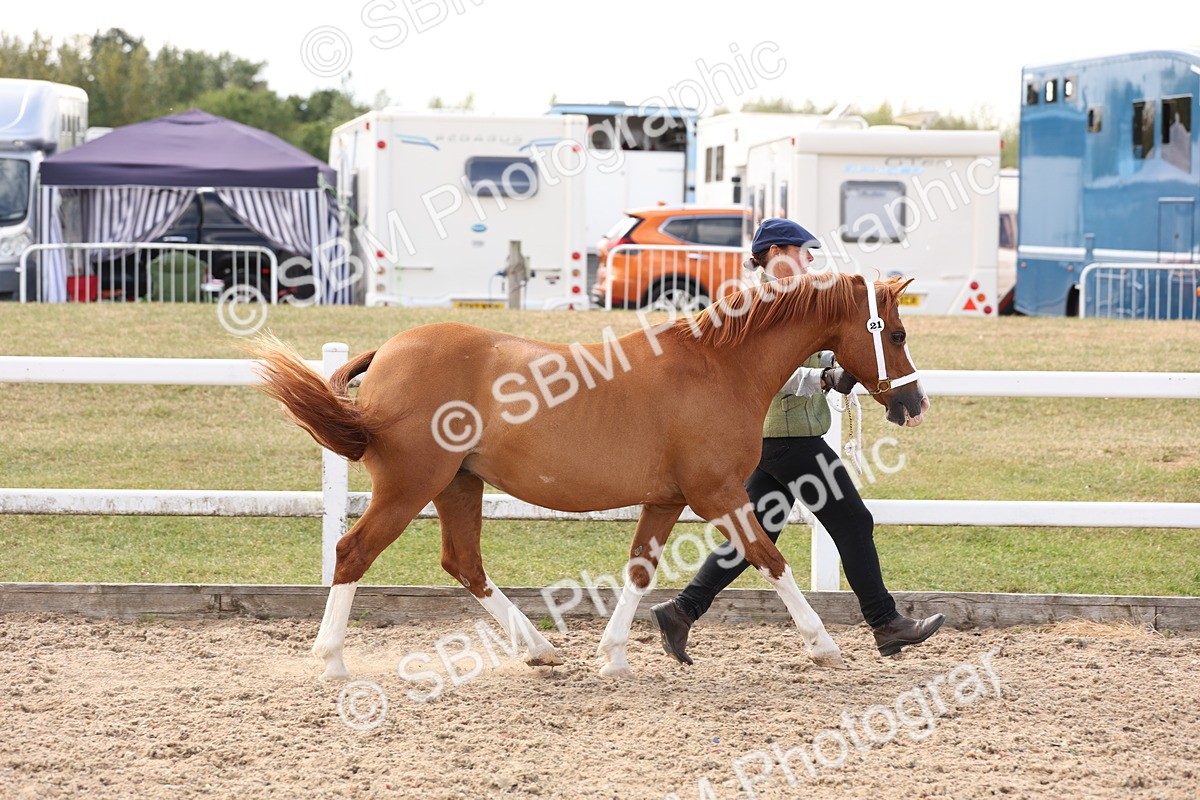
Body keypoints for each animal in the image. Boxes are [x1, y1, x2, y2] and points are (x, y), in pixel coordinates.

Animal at [250, 272, 928, 680]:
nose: (913, 404)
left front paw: (615, 656)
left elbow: (641, 570)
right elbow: (769, 559)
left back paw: (540, 648)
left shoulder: (668, 500)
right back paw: (332, 660)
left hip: (458, 485)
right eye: (895, 332)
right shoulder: (717, 495)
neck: (719, 366)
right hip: (408, 486)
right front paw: (823, 644)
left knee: (463, 564)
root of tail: (389, 352)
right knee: (352, 552)